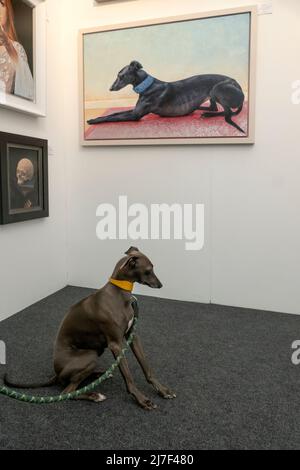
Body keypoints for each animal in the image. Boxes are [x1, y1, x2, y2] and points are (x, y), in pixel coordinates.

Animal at [4, 248, 176, 410]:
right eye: (148, 270)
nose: (160, 285)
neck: (119, 294)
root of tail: (56, 373)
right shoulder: (116, 343)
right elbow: (128, 375)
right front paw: (142, 399)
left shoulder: (132, 336)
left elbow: (146, 366)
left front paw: (162, 390)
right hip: (89, 356)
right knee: (67, 392)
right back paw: (94, 395)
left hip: (95, 352)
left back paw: (101, 374)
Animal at [87, 60, 246, 133]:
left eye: (121, 76)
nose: (110, 88)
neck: (147, 86)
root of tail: (237, 84)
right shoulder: (134, 110)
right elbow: (113, 113)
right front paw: (96, 117)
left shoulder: (135, 114)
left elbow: (112, 117)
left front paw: (93, 120)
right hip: (212, 92)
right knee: (214, 107)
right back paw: (200, 108)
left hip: (218, 88)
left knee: (227, 112)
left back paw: (207, 114)